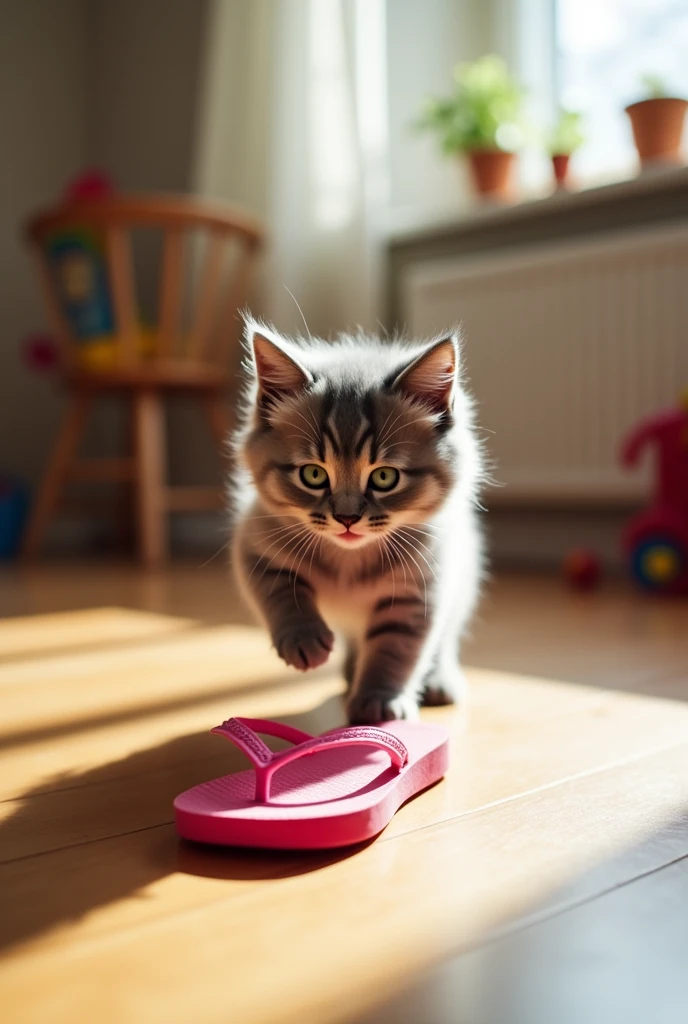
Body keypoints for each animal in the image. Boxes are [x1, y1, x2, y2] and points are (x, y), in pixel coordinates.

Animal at [231, 315, 483, 724]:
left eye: (384, 477)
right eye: (313, 475)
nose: (346, 517)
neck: (349, 562)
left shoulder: (420, 590)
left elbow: (394, 651)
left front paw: (379, 700)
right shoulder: (254, 546)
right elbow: (282, 593)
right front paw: (303, 639)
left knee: (444, 640)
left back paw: (437, 681)